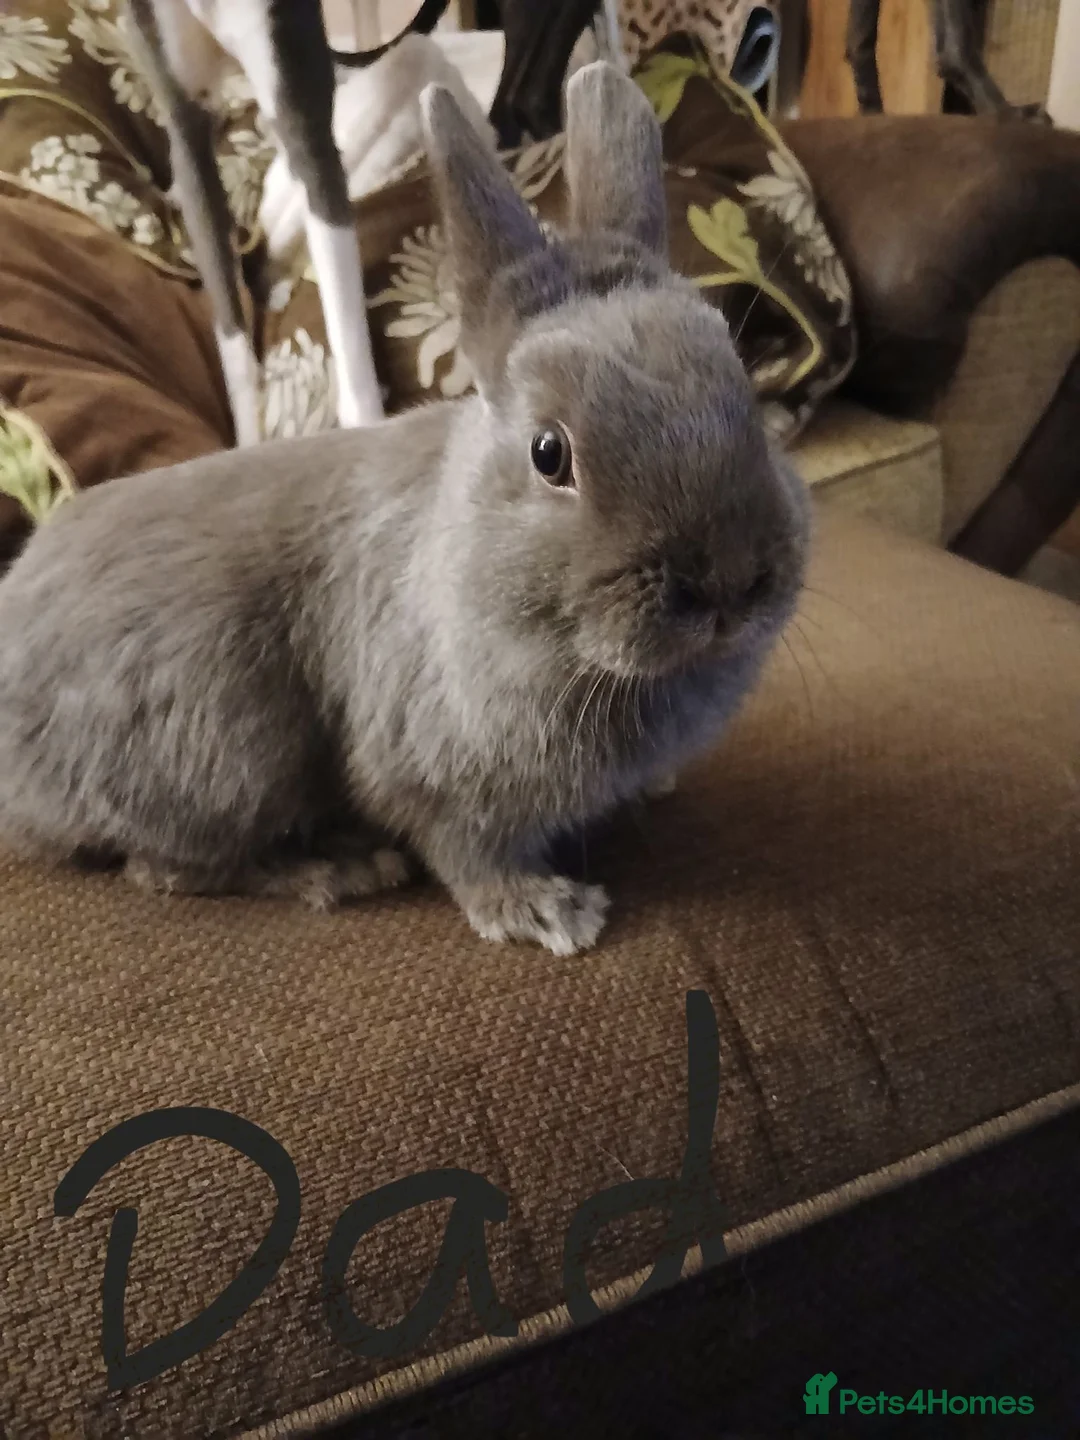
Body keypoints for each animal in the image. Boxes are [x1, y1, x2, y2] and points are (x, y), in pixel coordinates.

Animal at [0, 62, 809, 957]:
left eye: (743, 389)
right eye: (550, 454)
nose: (729, 581)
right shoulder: (436, 772)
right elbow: (465, 848)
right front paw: (548, 913)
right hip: (229, 749)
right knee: (171, 867)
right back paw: (338, 869)